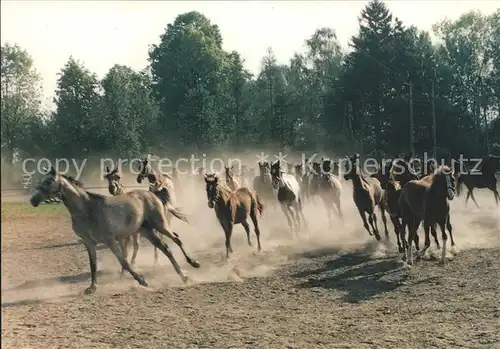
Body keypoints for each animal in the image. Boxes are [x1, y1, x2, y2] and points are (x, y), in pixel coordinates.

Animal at [29, 166, 199, 294]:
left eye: (49, 181)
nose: (33, 200)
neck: (87, 209)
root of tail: (153, 193)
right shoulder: (89, 242)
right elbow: (93, 264)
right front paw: (92, 288)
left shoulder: (110, 240)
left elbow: (124, 261)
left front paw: (142, 280)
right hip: (147, 231)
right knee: (165, 248)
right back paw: (183, 276)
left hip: (160, 225)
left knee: (176, 239)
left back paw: (193, 264)